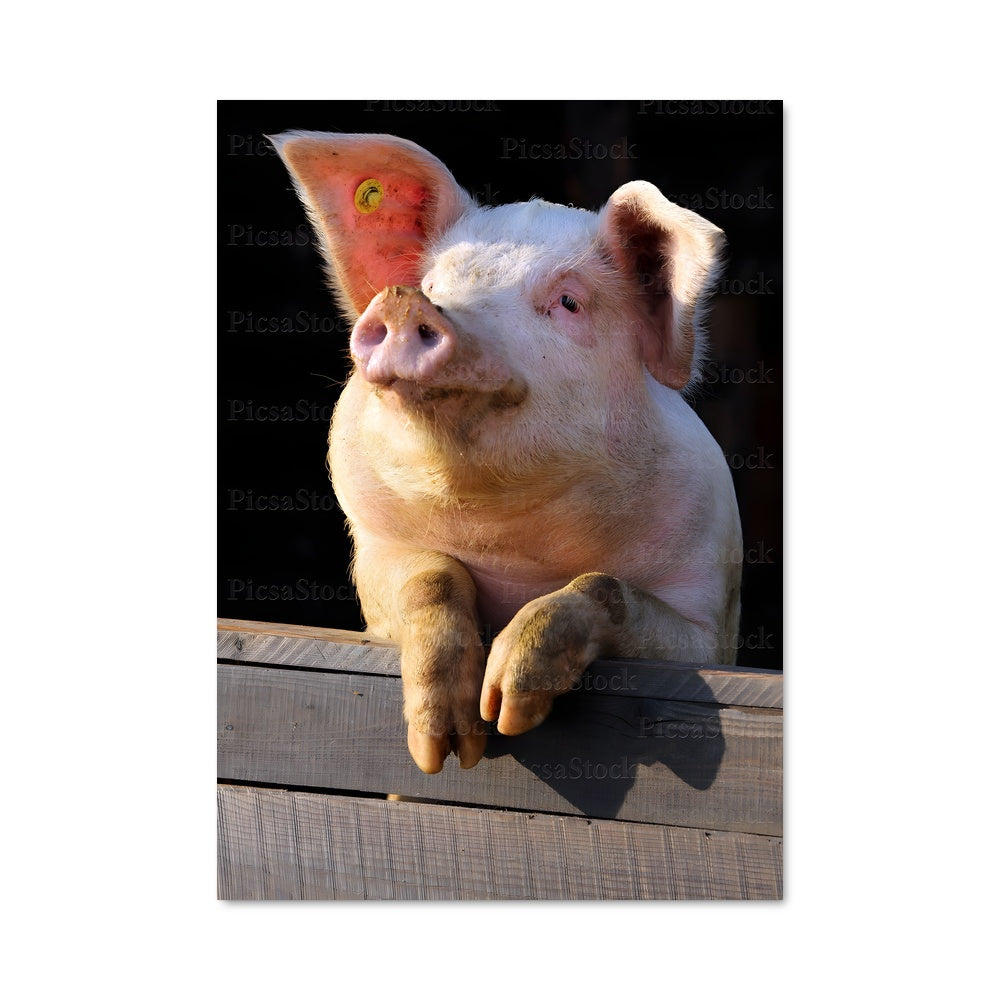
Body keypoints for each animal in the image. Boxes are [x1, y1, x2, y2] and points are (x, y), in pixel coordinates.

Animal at [269, 131, 742, 774]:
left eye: (569, 302)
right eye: (434, 286)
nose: (406, 303)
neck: (509, 537)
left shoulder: (706, 613)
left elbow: (603, 584)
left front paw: (508, 710)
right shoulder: (375, 549)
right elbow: (431, 576)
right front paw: (443, 751)